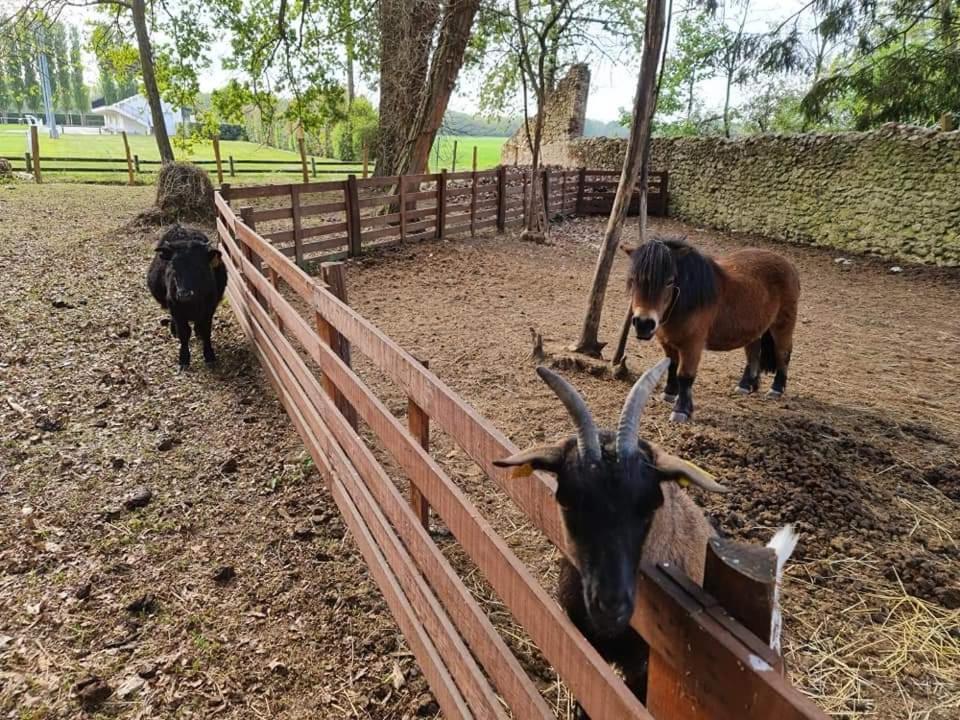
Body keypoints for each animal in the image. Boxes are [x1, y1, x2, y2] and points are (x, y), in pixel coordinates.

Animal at [146, 225, 227, 372]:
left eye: (200, 266)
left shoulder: (209, 309)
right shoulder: (176, 310)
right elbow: (184, 333)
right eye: (173, 265)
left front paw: (209, 355)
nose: (184, 294)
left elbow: (206, 331)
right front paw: (184, 359)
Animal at [624, 238, 804, 422]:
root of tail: (789, 265)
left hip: (782, 325)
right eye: (634, 279)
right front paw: (669, 394)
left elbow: (685, 375)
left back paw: (776, 389)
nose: (643, 323)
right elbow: (672, 367)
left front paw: (681, 411)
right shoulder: (667, 342)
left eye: (669, 281)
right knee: (753, 354)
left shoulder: (692, 344)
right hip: (755, 329)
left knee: (783, 353)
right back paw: (745, 385)